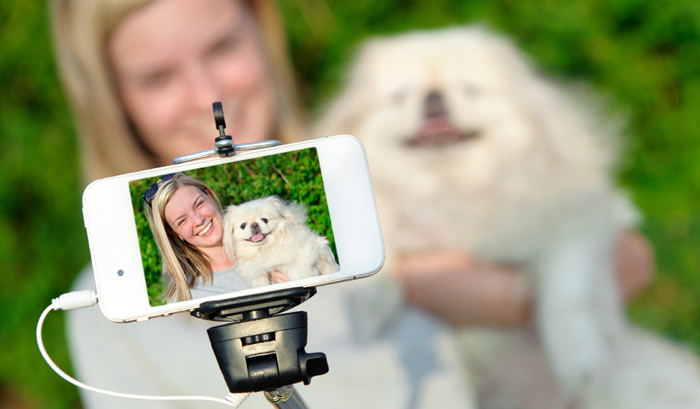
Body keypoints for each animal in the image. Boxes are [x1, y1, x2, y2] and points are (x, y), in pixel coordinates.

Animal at [314, 26, 700, 408]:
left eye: (470, 89)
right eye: (399, 96)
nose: (434, 95)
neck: (451, 190)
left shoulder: (582, 222)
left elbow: (567, 293)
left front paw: (578, 357)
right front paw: (370, 302)